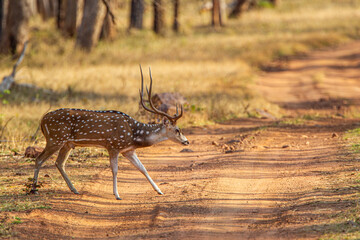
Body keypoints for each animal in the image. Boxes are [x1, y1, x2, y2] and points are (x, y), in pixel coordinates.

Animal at [29, 66, 190, 200]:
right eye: (177, 130)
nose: (186, 141)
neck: (134, 135)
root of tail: (42, 120)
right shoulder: (113, 146)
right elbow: (115, 170)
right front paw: (117, 195)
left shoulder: (128, 150)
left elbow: (142, 168)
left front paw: (159, 191)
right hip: (55, 139)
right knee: (39, 159)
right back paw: (34, 189)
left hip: (67, 143)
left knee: (59, 163)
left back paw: (74, 189)